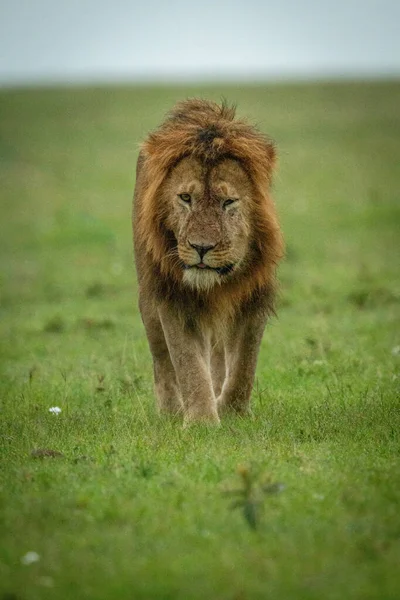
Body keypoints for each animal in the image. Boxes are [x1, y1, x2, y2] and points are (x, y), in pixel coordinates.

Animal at [133, 98, 282, 424]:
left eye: (229, 202)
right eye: (185, 198)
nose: (201, 247)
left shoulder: (255, 296)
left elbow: (245, 364)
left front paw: (232, 410)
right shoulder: (173, 296)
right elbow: (187, 362)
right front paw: (201, 420)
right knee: (162, 359)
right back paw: (171, 411)